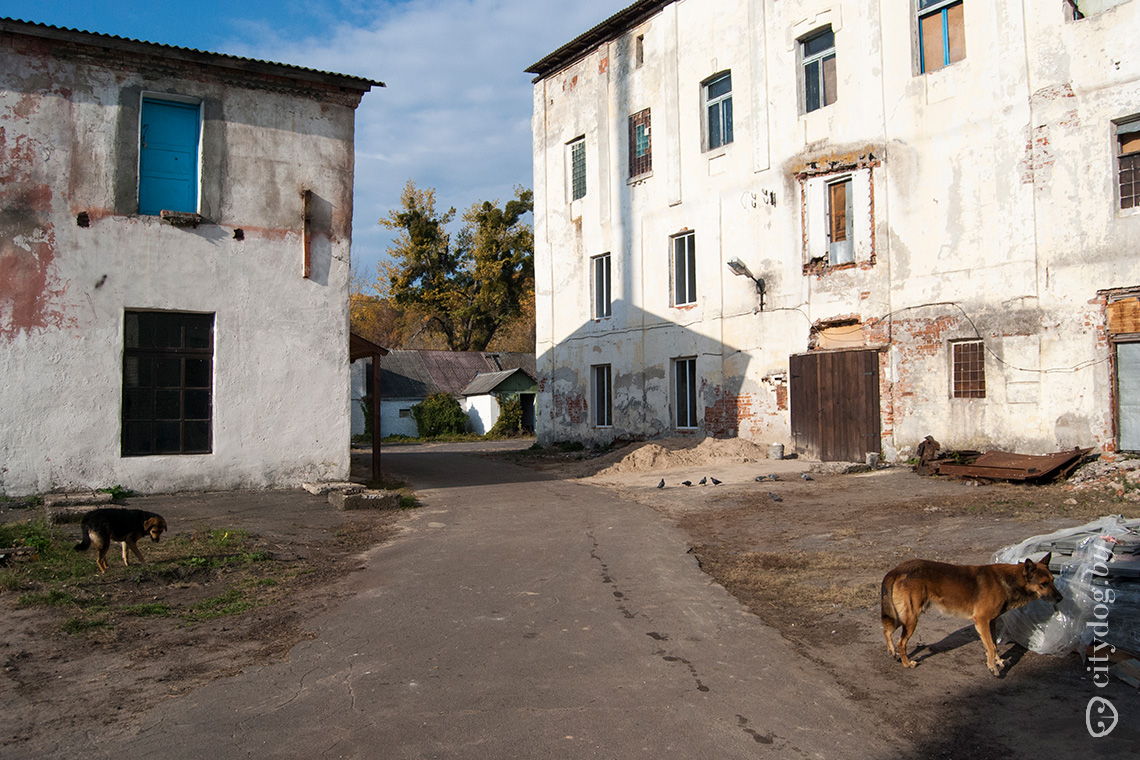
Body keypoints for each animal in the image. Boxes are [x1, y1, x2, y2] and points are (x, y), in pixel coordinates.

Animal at [880, 556, 1057, 674]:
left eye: (1053, 580)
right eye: (1044, 584)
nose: (1060, 598)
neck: (1008, 581)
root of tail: (896, 570)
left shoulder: (991, 622)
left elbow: (994, 644)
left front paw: (998, 661)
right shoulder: (982, 621)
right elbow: (991, 646)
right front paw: (992, 667)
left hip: (901, 616)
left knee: (887, 630)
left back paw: (892, 652)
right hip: (911, 618)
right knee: (901, 642)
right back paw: (906, 663)